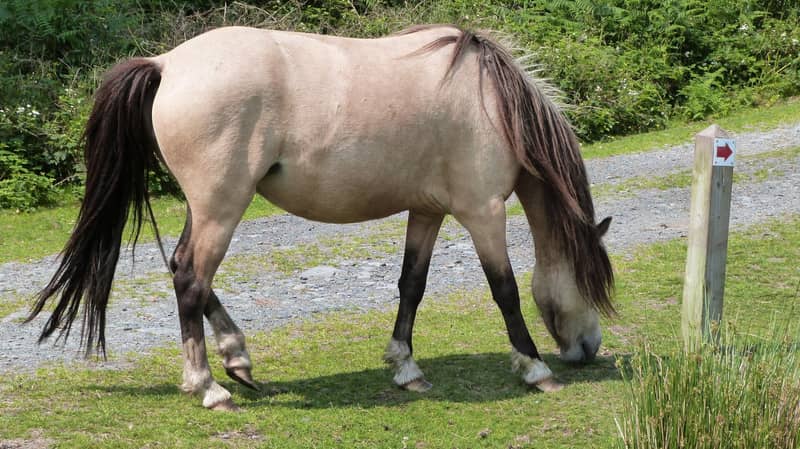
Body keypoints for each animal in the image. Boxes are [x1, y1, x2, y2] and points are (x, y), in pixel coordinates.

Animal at [27, 24, 614, 411]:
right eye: (591, 283)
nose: (588, 350)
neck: (492, 102)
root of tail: (168, 62)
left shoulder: (427, 211)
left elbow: (412, 285)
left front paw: (406, 368)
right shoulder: (483, 212)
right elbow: (506, 290)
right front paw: (534, 368)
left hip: (209, 207)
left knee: (182, 269)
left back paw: (238, 360)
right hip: (222, 206)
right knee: (191, 278)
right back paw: (209, 387)